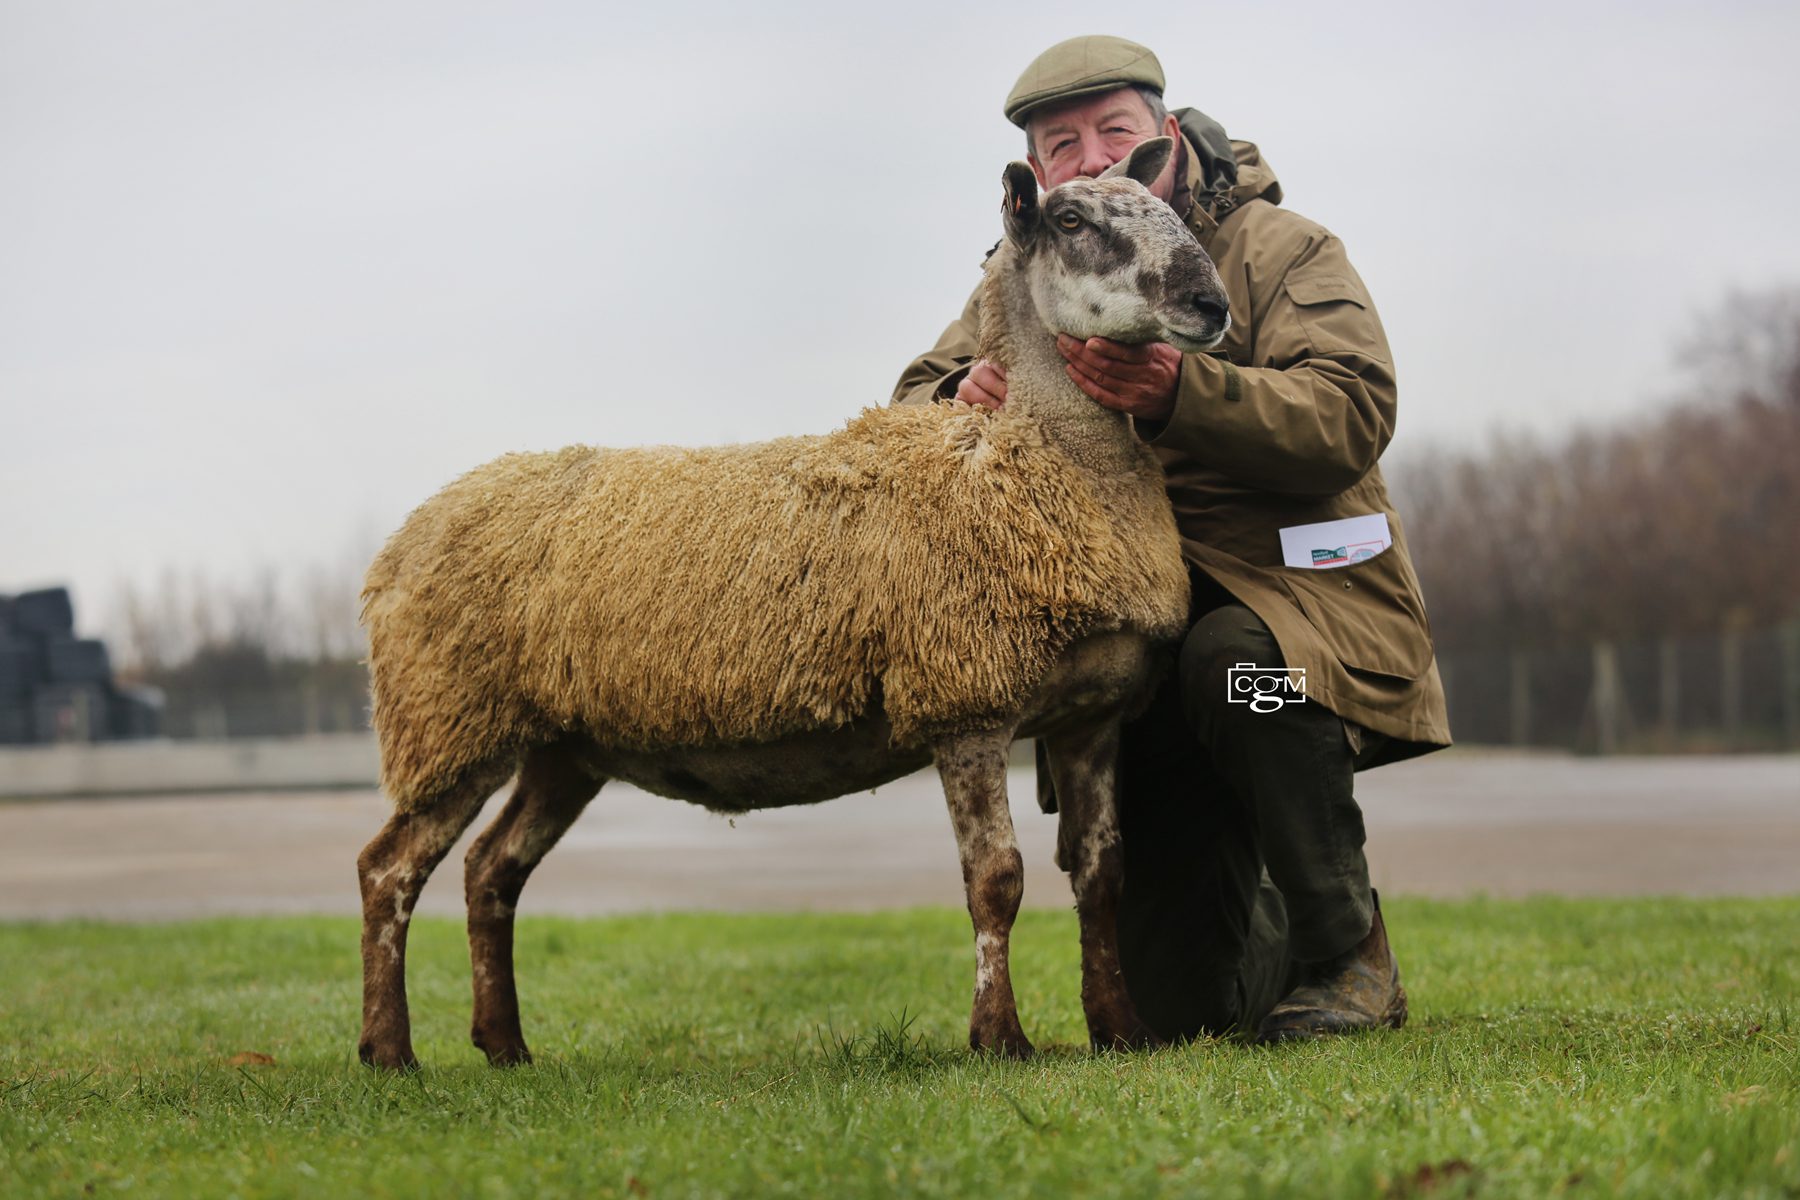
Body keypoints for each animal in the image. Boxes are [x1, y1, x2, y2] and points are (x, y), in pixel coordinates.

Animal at [352, 138, 1231, 1072]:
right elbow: (997, 881)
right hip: (452, 716)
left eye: (1165, 206)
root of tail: (403, 538)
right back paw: (389, 1051)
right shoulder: (966, 700)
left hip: (561, 744)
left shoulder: (1090, 716)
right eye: (1071, 219)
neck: (1032, 455)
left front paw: (1122, 1030)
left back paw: (505, 1044)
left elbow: (1101, 876)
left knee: (490, 870)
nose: (1209, 303)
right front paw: (1000, 1038)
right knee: (389, 870)